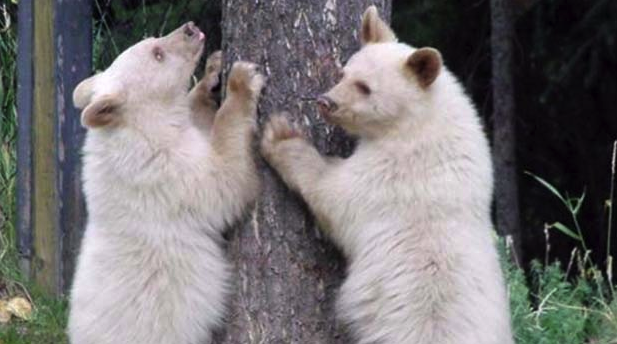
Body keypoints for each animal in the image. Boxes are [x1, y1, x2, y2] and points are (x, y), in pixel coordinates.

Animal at [68, 22, 264, 344]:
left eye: (152, 39)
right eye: (157, 53)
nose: (190, 28)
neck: (133, 131)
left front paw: (212, 73)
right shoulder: (162, 171)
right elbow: (223, 180)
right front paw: (242, 80)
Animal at [260, 7, 516, 344]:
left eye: (365, 87)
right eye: (343, 73)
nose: (326, 102)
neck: (419, 123)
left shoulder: (396, 172)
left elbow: (336, 193)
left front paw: (279, 135)